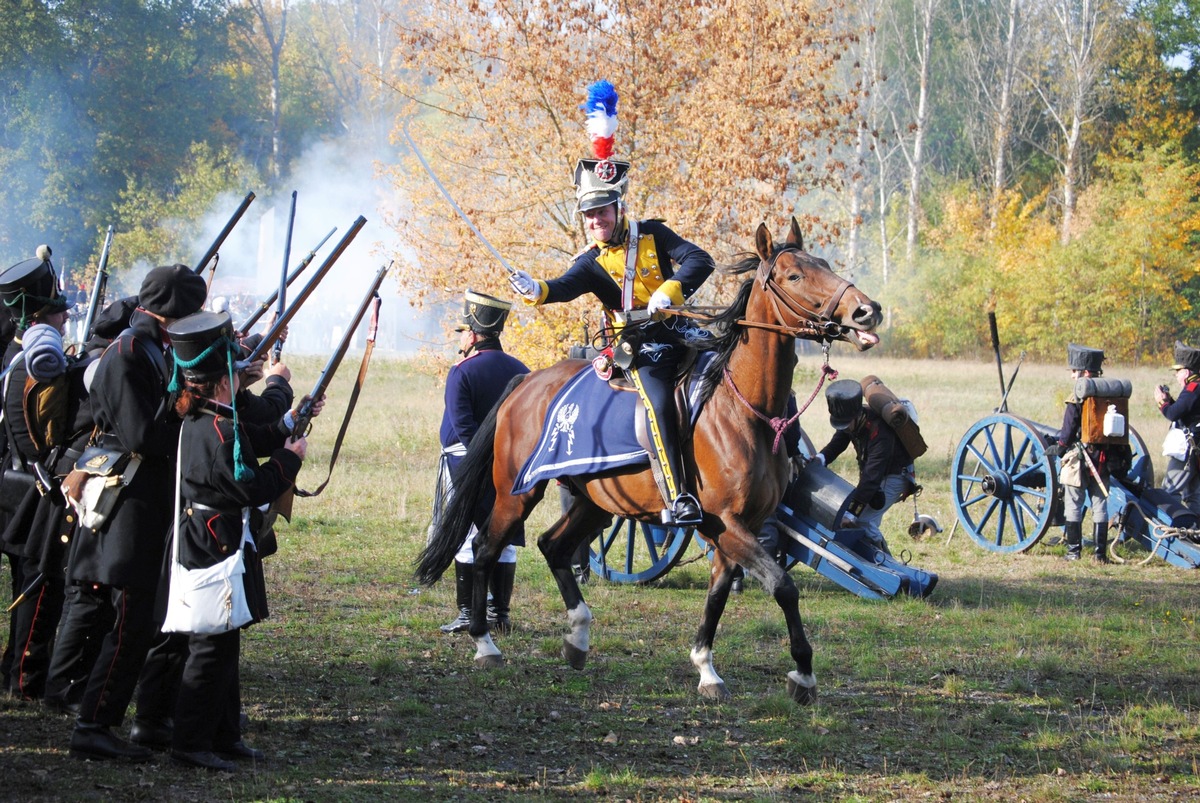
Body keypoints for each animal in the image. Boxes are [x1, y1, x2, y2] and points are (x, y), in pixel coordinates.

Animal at [420, 219, 883, 700]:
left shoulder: (742, 528)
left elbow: (719, 594)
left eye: (824, 264)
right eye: (794, 275)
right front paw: (803, 673)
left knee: (553, 546)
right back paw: (484, 642)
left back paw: (577, 635)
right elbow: (784, 585)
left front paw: (706, 667)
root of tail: (527, 382)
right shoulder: (725, 523)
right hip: (518, 495)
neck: (743, 407)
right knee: (485, 548)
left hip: (596, 504)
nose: (867, 312)